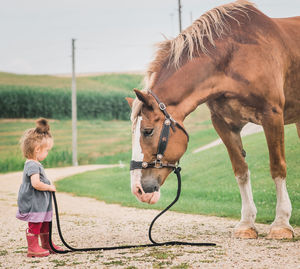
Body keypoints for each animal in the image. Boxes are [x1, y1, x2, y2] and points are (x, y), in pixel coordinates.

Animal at [125, 0, 298, 239]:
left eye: (147, 131)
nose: (138, 190)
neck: (234, 56)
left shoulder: (272, 115)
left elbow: (277, 167)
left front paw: (281, 223)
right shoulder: (223, 124)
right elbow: (241, 170)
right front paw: (246, 223)